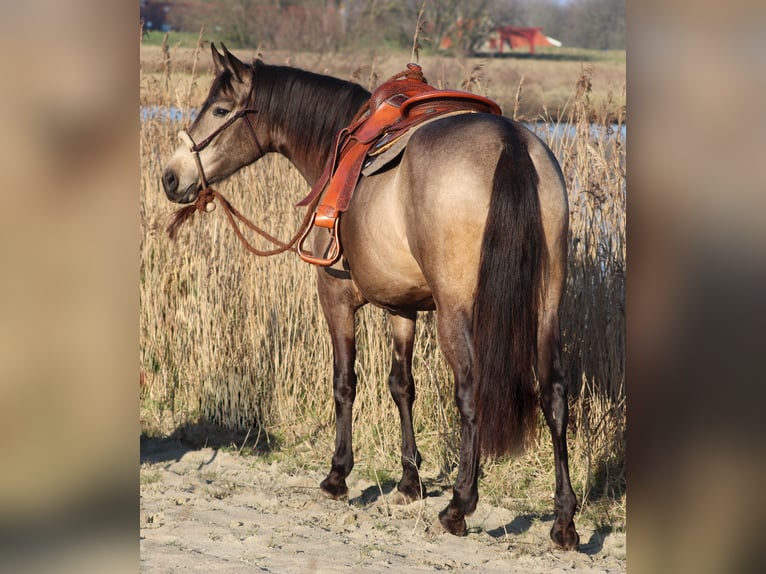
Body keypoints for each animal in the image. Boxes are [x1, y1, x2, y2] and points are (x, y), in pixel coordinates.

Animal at [164, 44, 584, 548]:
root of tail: (511, 144)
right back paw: (563, 521)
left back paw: (459, 506)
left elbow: (345, 383)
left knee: (470, 392)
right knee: (555, 396)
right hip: (546, 308)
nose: (171, 178)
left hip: (457, 313)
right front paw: (409, 482)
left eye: (220, 110)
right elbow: (402, 386)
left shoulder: (336, 298)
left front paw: (337, 476)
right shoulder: (402, 308)